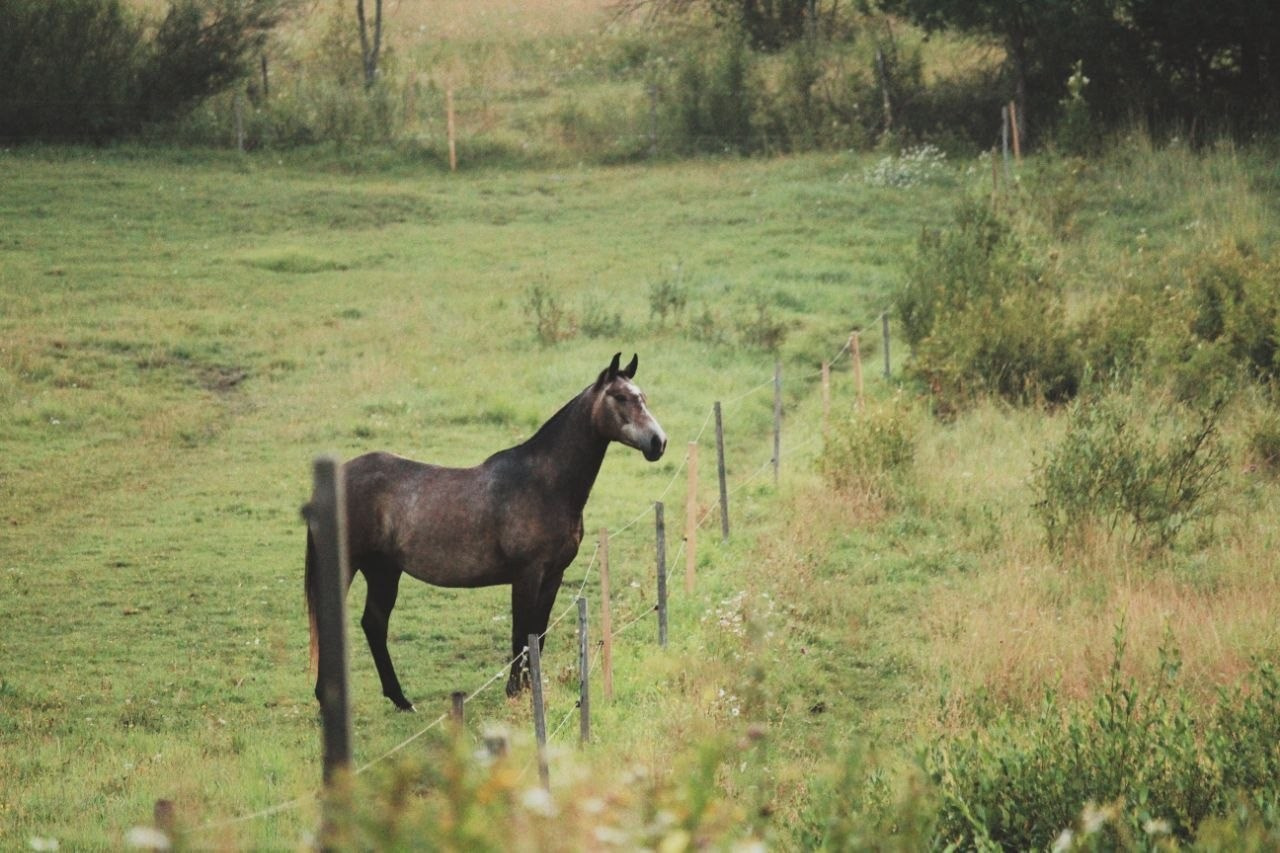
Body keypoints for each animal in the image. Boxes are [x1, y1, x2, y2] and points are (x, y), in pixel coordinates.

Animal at [304, 353, 667, 710]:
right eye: (620, 397)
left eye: (644, 397)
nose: (659, 442)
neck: (544, 484)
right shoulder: (526, 575)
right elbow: (521, 635)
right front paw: (515, 692)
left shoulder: (554, 575)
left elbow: (538, 635)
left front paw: (529, 690)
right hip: (351, 566)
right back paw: (326, 698)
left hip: (383, 571)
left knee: (374, 625)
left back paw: (401, 699)